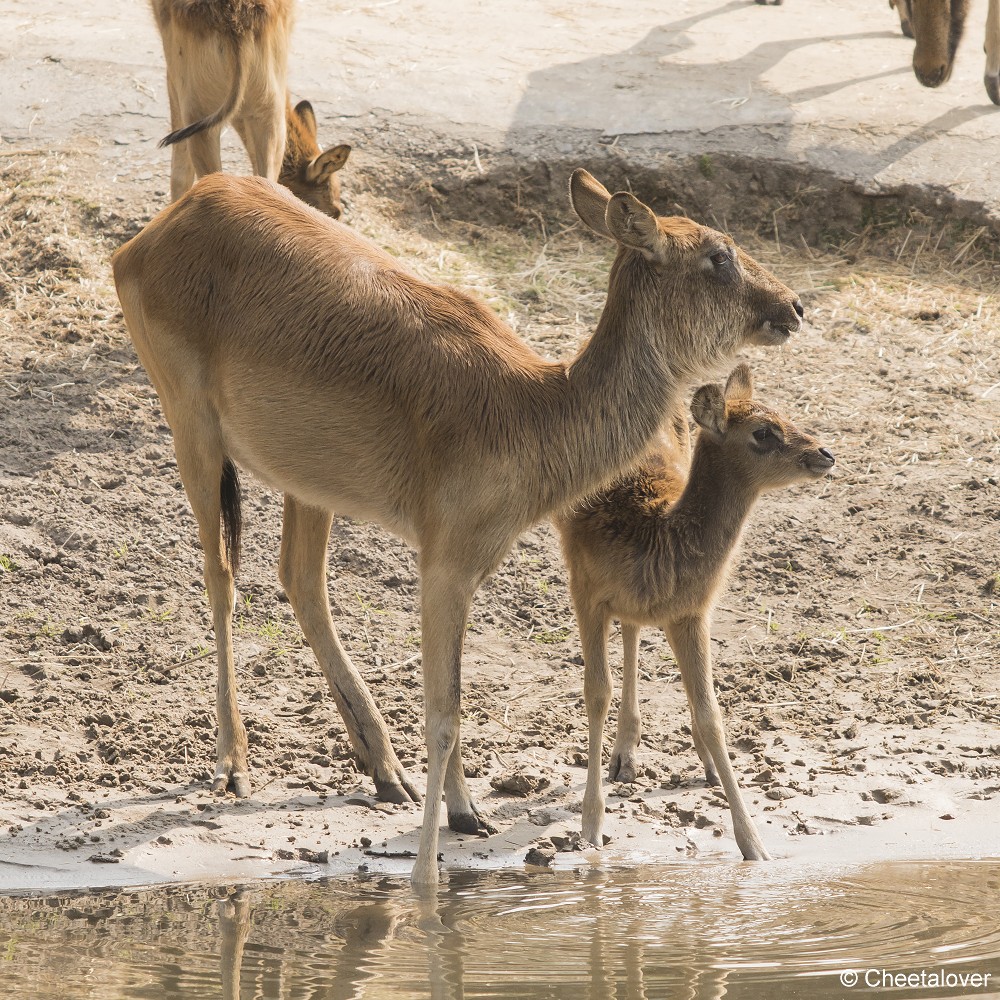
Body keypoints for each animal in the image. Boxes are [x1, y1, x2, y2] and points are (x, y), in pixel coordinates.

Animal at [113, 170, 804, 884]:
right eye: (716, 255)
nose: (795, 305)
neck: (529, 412)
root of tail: (149, 234)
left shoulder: (467, 560)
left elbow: (452, 695)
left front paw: (465, 811)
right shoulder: (442, 556)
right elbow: (444, 707)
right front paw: (437, 858)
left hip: (305, 475)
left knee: (300, 579)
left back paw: (384, 771)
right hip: (190, 420)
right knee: (222, 571)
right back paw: (234, 765)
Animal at [560, 366, 832, 860]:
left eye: (784, 413)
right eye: (762, 432)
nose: (826, 454)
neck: (658, 534)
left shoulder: (691, 612)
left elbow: (712, 714)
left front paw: (755, 845)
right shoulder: (585, 589)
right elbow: (595, 692)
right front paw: (591, 827)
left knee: (634, 629)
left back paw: (638, 756)